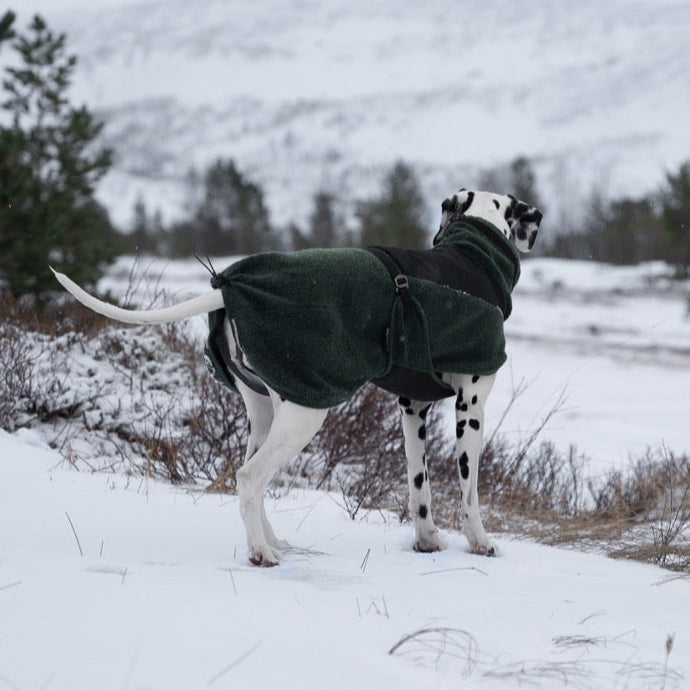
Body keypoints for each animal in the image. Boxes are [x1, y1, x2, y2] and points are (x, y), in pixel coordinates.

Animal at [52, 188, 544, 564]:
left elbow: (417, 484)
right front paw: (480, 542)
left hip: (266, 415)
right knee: (250, 478)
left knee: (250, 477)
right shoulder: (470, 407)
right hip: (304, 415)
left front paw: (426, 541)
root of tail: (230, 285)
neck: (471, 259)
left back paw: (272, 542)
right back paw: (261, 553)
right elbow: (469, 489)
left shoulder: (411, 411)